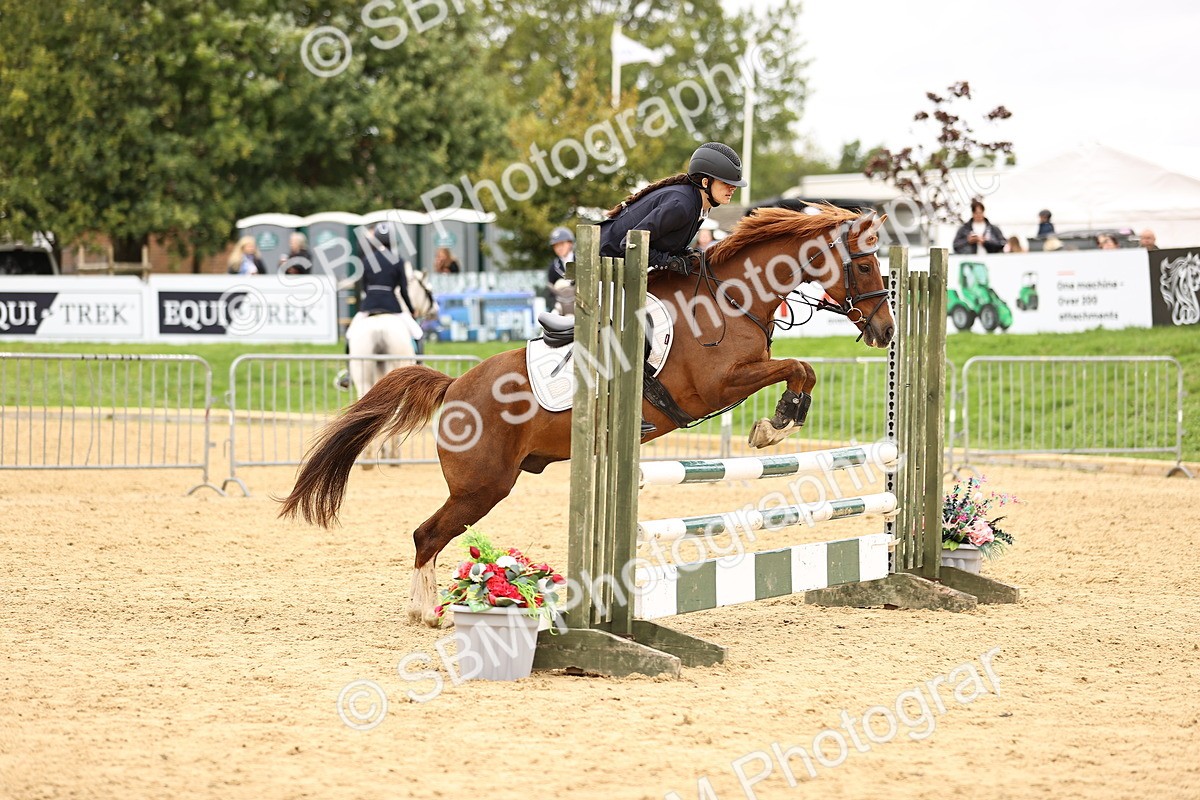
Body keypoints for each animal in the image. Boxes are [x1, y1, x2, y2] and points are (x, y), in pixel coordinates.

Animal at [280, 205, 894, 625]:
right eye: (865, 264)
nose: (886, 332)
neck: (730, 298)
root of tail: (455, 384)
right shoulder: (718, 384)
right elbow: (796, 366)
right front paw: (778, 422)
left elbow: (801, 367)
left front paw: (783, 417)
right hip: (482, 486)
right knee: (425, 535)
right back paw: (426, 612)